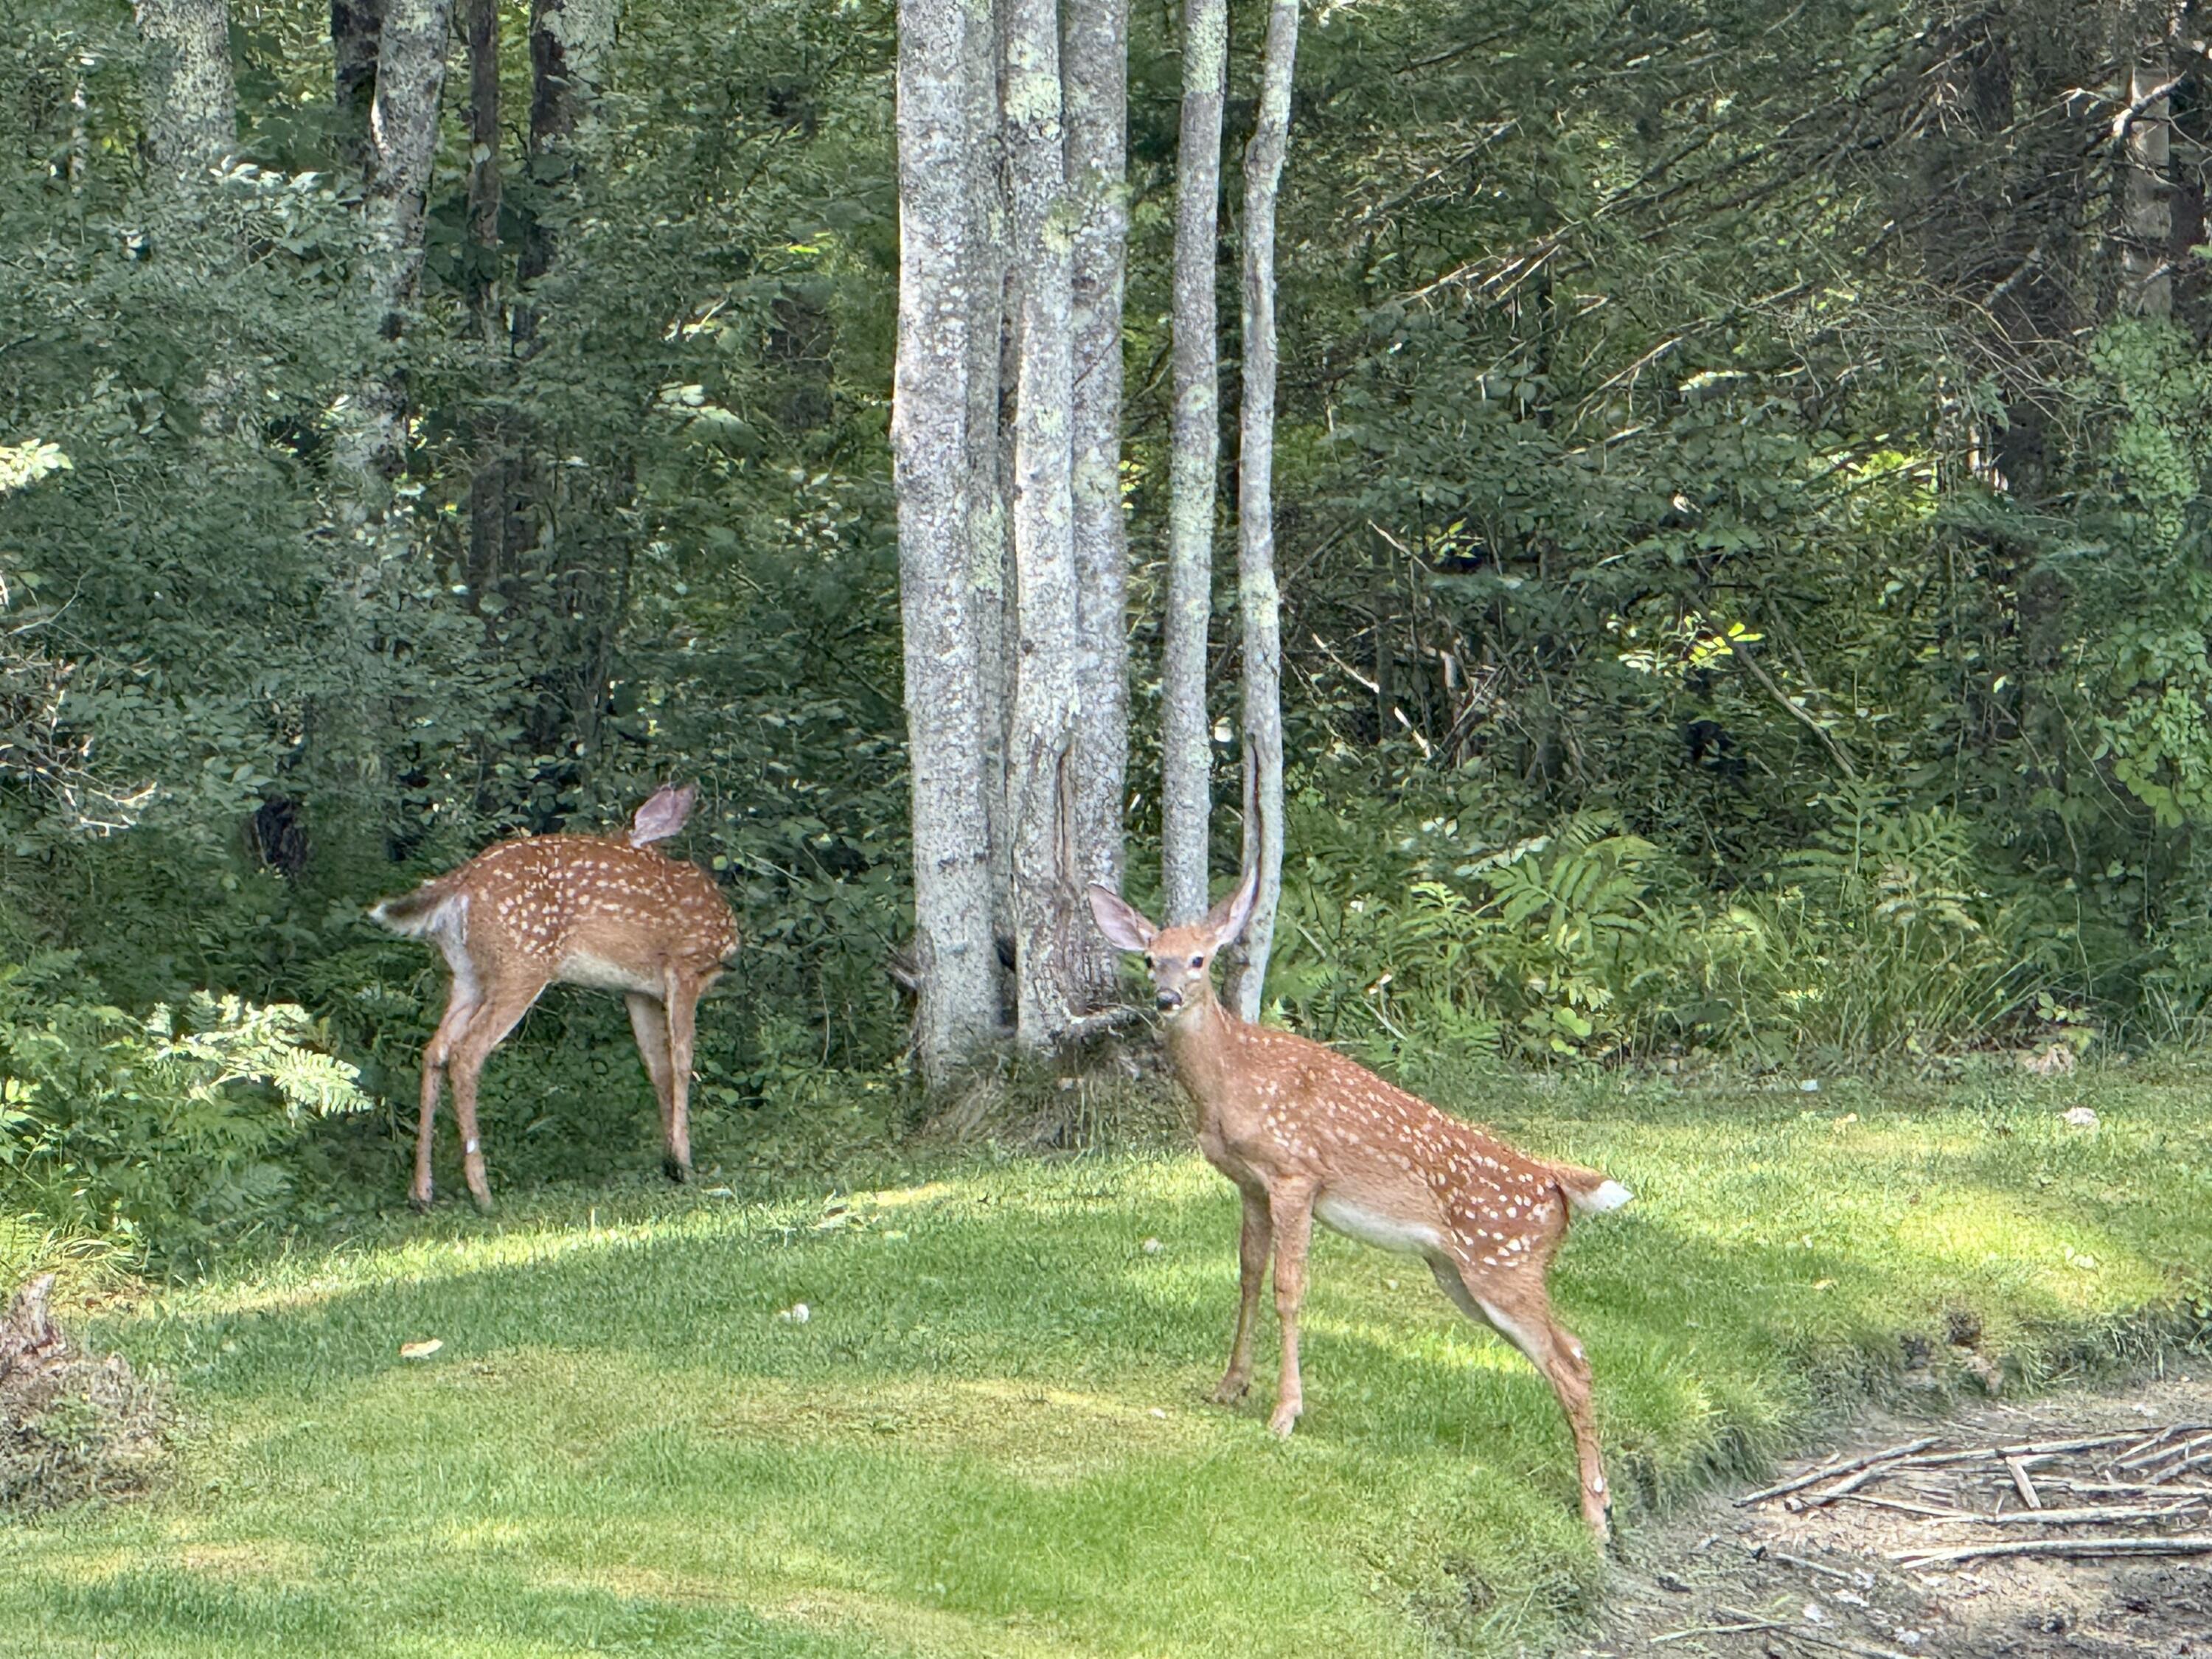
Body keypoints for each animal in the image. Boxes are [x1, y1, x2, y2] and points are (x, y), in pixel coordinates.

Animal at [370, 783, 739, 1213]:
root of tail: (461, 882)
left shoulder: (638, 990)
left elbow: (657, 1067)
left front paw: (670, 1162)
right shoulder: (685, 968)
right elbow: (682, 1062)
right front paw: (683, 1162)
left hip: (469, 976)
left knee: (435, 1050)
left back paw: (422, 1192)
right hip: (522, 964)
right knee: (467, 1053)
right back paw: (482, 1191)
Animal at [1088, 871, 1633, 1538]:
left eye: (1199, 959)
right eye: (1150, 958)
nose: (1166, 999)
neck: (1230, 1078)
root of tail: (1555, 1183)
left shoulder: (1296, 1174)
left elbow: (1289, 1288)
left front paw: (1285, 1413)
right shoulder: (1249, 1183)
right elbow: (1248, 1275)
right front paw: (1230, 1386)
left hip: (1501, 1264)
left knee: (1570, 1364)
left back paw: (1594, 1515)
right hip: (1461, 1275)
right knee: (1575, 1350)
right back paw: (1600, 1503)